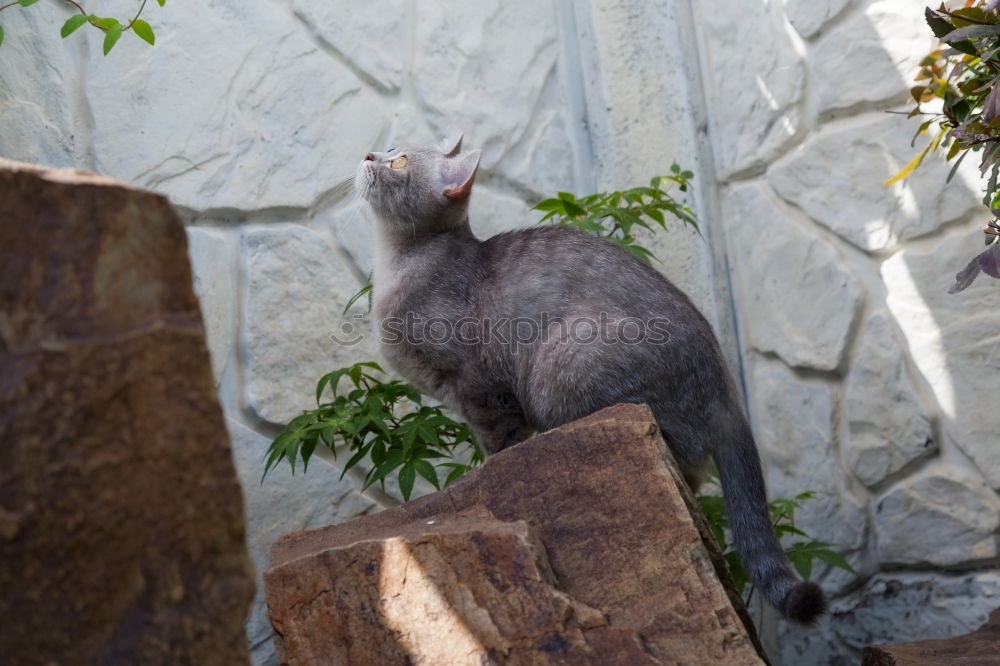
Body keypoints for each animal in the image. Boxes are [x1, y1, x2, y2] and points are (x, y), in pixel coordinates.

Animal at [356, 135, 824, 624]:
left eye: (399, 161)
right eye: (389, 146)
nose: (369, 155)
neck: (395, 266)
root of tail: (726, 393)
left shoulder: (481, 387)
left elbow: (500, 443)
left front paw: (481, 478)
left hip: (567, 368)